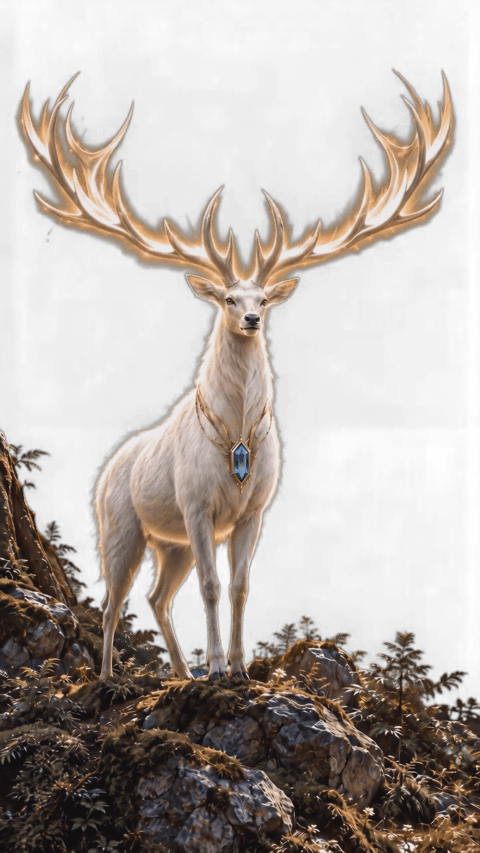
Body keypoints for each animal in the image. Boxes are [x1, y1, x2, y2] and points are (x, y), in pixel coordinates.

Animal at [18, 71, 453, 682]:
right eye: (228, 298)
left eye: (264, 300)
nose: (250, 318)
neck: (239, 438)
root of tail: (108, 466)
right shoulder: (198, 505)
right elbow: (210, 586)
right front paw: (219, 667)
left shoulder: (254, 512)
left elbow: (241, 587)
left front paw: (242, 667)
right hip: (121, 527)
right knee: (114, 598)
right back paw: (108, 675)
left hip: (171, 542)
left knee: (156, 596)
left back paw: (180, 672)